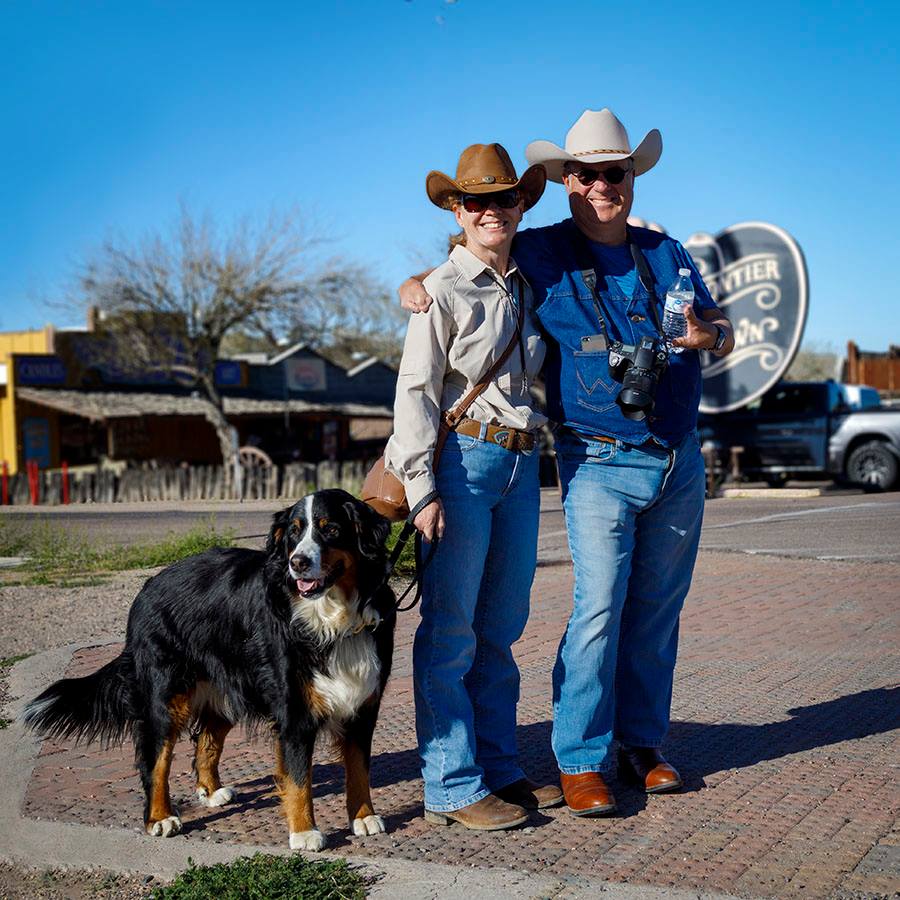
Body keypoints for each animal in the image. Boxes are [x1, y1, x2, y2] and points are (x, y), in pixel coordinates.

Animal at [24, 489, 396, 851]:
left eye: (330, 529)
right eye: (294, 533)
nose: (297, 562)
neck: (333, 620)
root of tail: (147, 587)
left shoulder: (363, 705)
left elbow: (358, 767)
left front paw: (363, 816)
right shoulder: (294, 711)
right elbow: (299, 777)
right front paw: (304, 833)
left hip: (228, 687)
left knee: (206, 739)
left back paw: (212, 790)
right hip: (167, 699)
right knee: (155, 760)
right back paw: (160, 817)